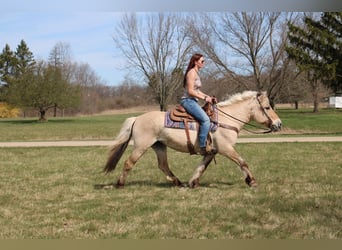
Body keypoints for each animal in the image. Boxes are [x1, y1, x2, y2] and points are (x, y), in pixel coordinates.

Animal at [103, 91, 282, 188]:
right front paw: (252, 181)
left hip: (159, 146)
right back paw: (120, 184)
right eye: (267, 107)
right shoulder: (225, 148)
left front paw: (193, 182)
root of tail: (137, 118)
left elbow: (201, 167)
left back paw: (178, 182)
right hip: (141, 146)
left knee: (163, 165)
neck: (226, 119)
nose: (278, 124)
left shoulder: (211, 152)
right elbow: (242, 162)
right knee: (129, 163)